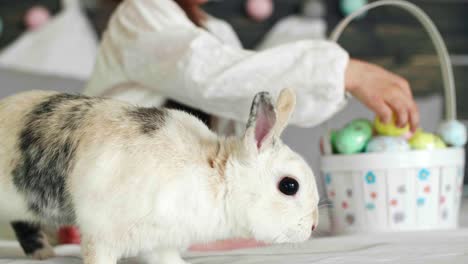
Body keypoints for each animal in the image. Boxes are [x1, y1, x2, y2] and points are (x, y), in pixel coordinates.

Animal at [0, 88, 318, 264]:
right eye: (289, 185)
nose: (314, 226)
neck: (210, 175)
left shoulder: (159, 241)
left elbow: (165, 258)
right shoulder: (101, 234)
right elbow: (98, 256)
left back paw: (42, 252)